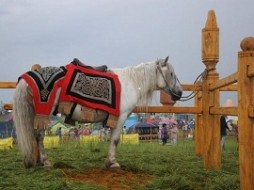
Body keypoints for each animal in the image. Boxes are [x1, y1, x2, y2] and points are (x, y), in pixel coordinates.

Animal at [12, 56, 183, 168]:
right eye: (171, 74)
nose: (180, 92)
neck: (131, 82)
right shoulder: (120, 117)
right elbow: (115, 140)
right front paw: (112, 162)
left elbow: (111, 139)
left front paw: (109, 161)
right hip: (44, 113)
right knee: (39, 136)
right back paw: (46, 161)